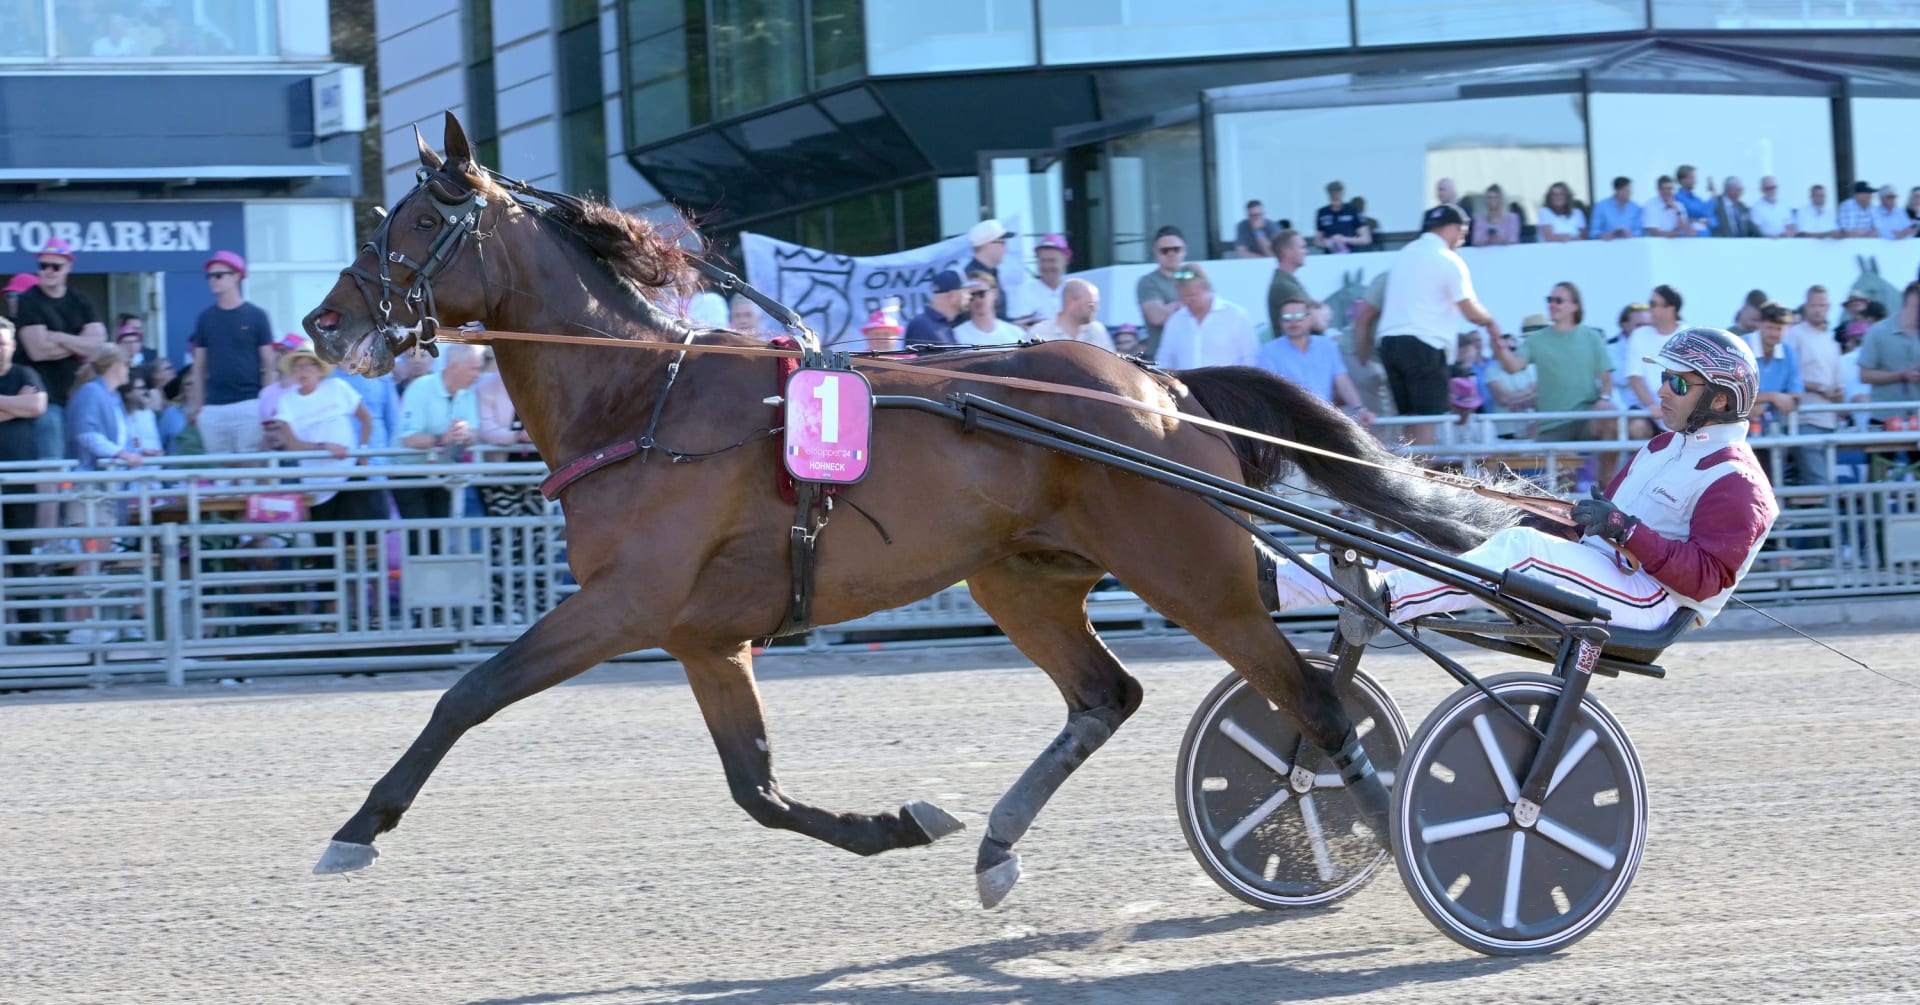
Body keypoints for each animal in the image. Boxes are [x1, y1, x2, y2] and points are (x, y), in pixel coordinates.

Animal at [299, 113, 1512, 906]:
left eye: (417, 219)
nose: (321, 323)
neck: (645, 400)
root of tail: (1159, 384)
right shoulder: (704, 638)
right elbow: (758, 788)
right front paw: (902, 823)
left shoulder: (625, 603)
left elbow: (469, 693)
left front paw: (357, 827)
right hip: (1017, 576)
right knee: (1105, 696)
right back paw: (999, 845)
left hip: (1193, 576)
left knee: (1314, 699)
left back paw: (1400, 843)